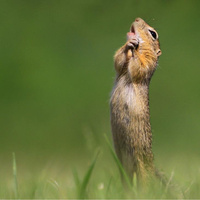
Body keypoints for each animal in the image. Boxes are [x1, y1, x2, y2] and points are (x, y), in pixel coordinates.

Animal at [110, 18, 162, 185]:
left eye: (153, 34)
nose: (137, 19)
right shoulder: (121, 67)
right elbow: (118, 61)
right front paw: (128, 44)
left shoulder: (148, 62)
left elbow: (139, 67)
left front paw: (133, 46)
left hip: (143, 170)